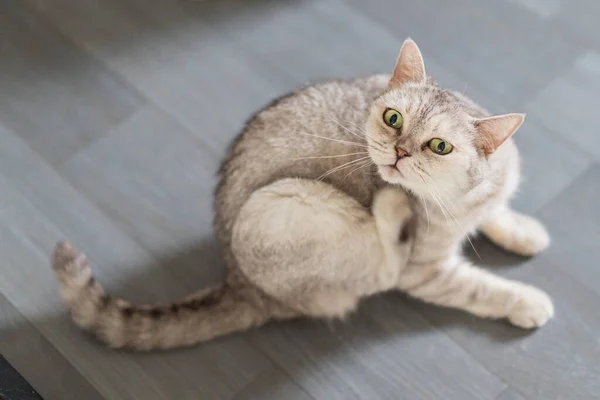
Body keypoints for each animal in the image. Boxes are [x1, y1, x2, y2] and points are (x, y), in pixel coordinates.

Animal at [51, 38, 552, 350]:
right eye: (393, 119)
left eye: (439, 146)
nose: (399, 152)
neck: (464, 197)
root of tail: (241, 285)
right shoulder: (427, 272)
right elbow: (480, 289)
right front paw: (527, 302)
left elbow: (498, 214)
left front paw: (523, 231)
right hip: (298, 207)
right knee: (381, 272)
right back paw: (391, 209)